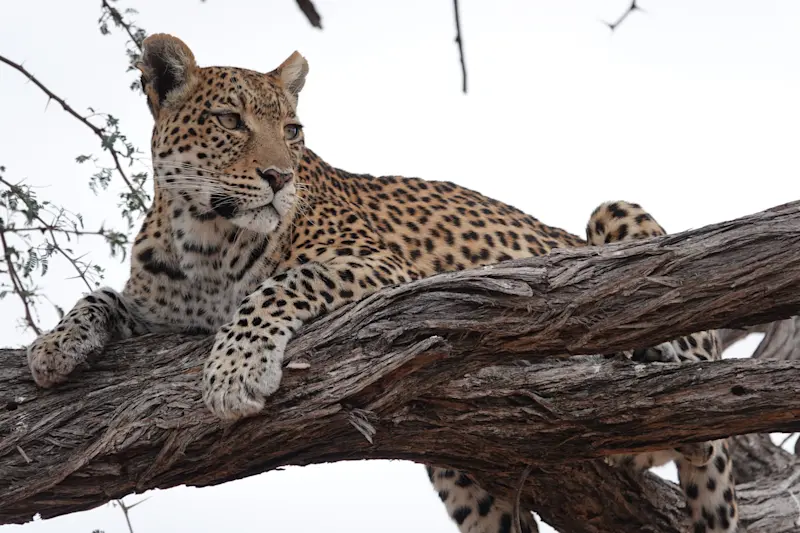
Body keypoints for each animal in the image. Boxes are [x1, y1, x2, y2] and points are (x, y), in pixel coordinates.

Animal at [26, 33, 737, 533]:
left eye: (292, 130)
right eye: (230, 121)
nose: (280, 178)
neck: (204, 235)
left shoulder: (380, 269)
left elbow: (274, 289)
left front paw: (234, 373)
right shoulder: (159, 312)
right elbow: (100, 297)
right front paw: (53, 348)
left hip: (614, 216)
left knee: (694, 388)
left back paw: (646, 356)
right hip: (462, 474)